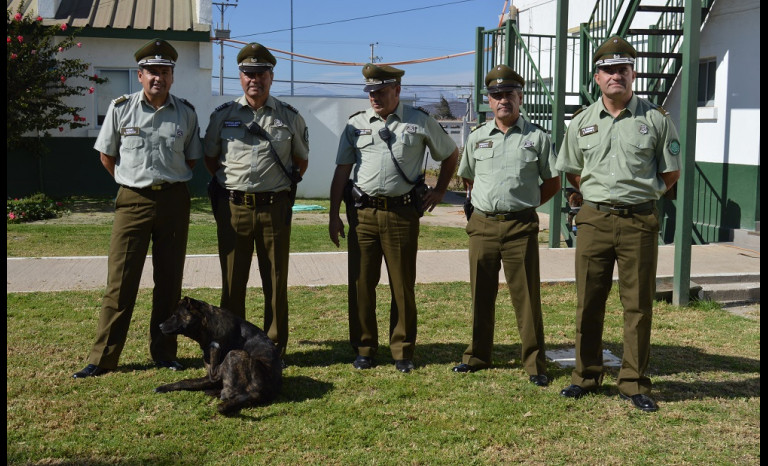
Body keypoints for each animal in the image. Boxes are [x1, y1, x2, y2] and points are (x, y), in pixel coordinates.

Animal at [154, 296, 284, 414]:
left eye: (176, 315)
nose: (159, 326)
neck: (208, 326)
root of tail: (259, 393)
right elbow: (187, 382)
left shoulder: (212, 375)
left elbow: (189, 380)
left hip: (235, 353)